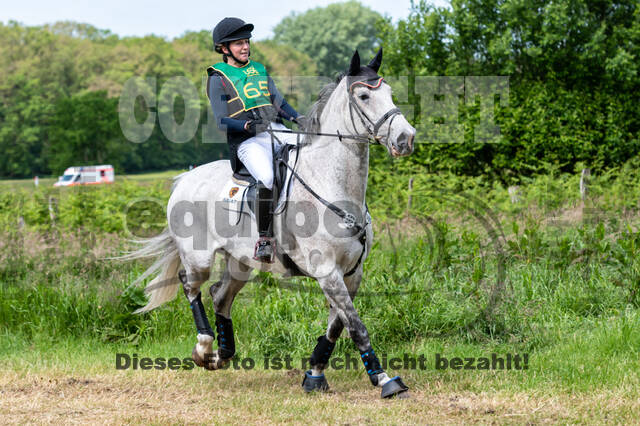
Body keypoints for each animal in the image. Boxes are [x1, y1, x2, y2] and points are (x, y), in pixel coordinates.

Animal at [122, 48, 416, 398]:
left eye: (390, 93)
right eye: (364, 96)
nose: (406, 138)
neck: (334, 186)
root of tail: (183, 180)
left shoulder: (351, 273)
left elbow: (336, 326)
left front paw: (314, 375)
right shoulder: (327, 271)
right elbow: (357, 327)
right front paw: (385, 380)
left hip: (240, 261)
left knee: (220, 295)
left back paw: (222, 354)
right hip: (199, 257)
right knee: (190, 285)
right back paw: (204, 348)